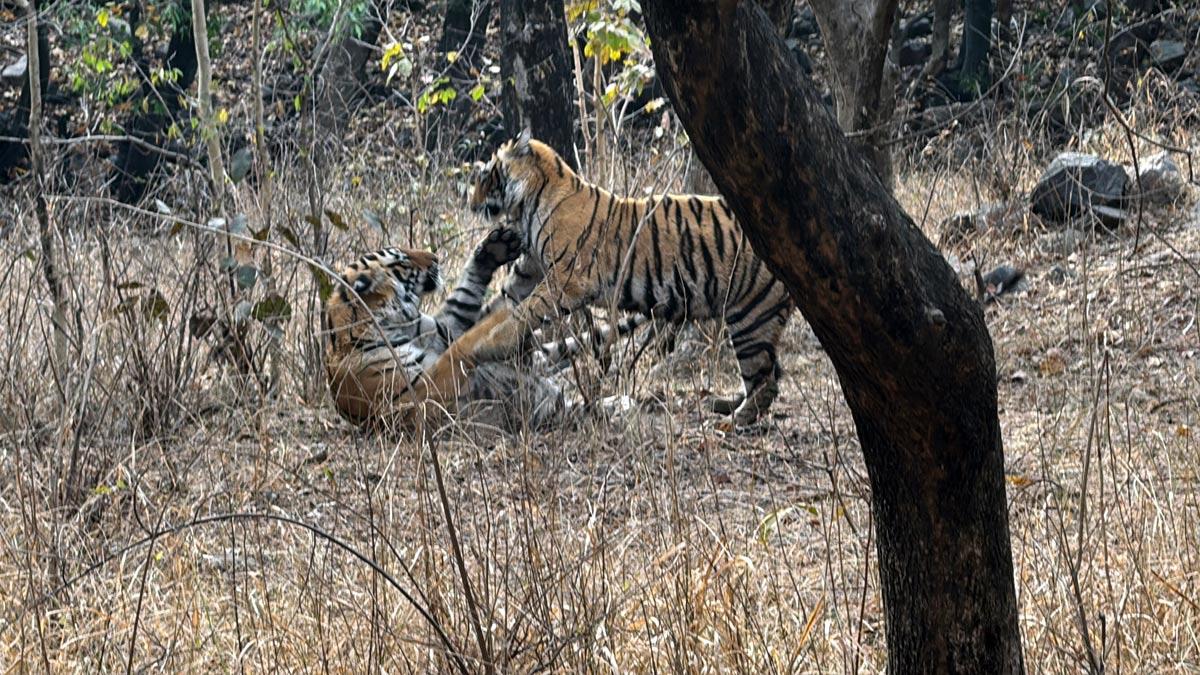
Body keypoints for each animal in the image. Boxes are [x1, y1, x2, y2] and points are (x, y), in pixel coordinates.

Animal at [323, 229, 571, 432]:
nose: (435, 258)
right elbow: (462, 346)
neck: (393, 322)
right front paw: (498, 325)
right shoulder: (421, 393)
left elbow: (464, 299)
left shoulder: (442, 329)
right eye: (403, 260)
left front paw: (495, 249)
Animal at [409, 130, 794, 427]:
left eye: (487, 175)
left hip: (750, 315)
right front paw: (467, 337)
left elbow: (521, 314)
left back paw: (734, 422)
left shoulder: (565, 281)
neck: (530, 202)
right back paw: (724, 405)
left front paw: (493, 342)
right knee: (771, 372)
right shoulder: (528, 271)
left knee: (765, 381)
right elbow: (497, 306)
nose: (470, 203)